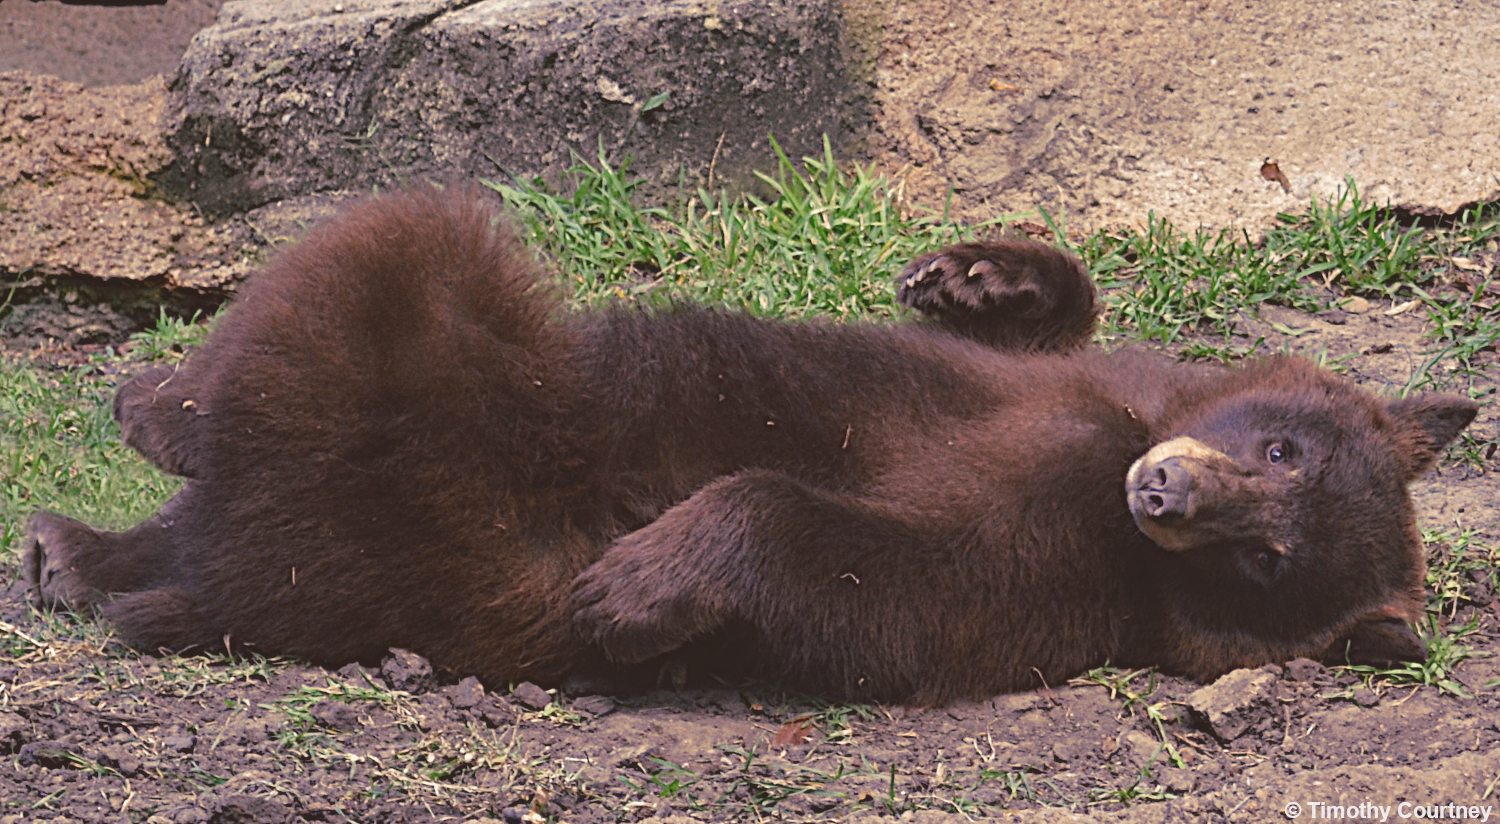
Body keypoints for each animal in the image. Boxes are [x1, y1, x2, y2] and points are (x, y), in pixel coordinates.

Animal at [24, 185, 1477, 705]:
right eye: (1282, 448)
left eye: (1268, 563)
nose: (1170, 491)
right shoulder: (1104, 403)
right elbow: (1038, 343)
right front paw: (982, 277)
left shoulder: (1070, 556)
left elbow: (893, 578)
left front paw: (640, 578)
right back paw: (98, 498)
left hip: (405, 488)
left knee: (389, 246)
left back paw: (128, 474)